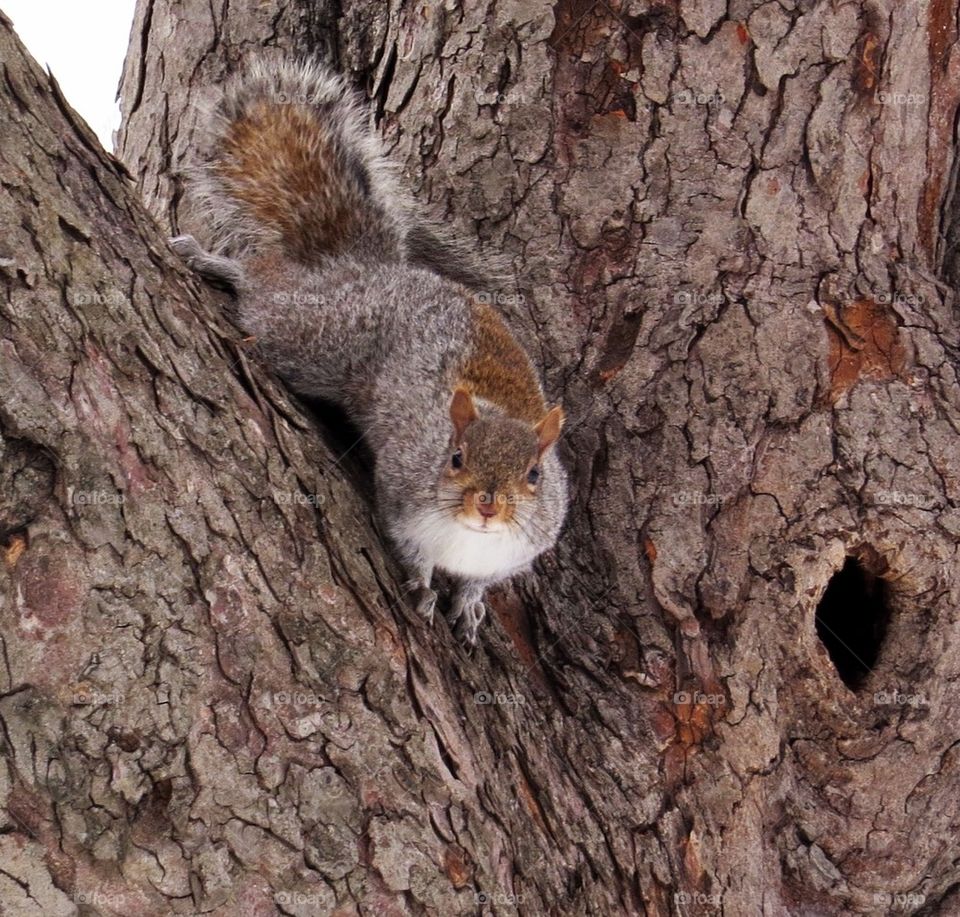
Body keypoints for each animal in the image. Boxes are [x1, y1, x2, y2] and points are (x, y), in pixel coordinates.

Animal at [168, 61, 567, 645]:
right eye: (455, 457)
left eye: (535, 475)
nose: (489, 504)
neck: (469, 539)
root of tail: (367, 269)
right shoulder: (401, 489)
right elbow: (407, 546)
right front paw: (423, 586)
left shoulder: (521, 550)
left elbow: (484, 582)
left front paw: (470, 603)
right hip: (316, 336)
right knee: (267, 287)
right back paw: (216, 263)